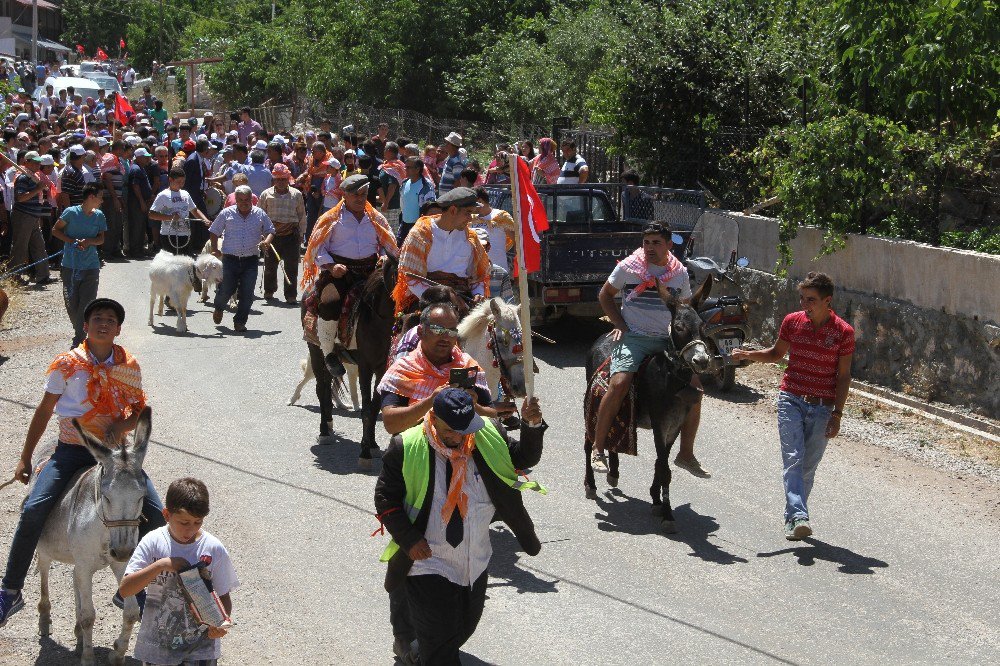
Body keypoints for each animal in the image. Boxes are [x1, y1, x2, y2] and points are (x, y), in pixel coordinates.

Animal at [32, 408, 152, 660]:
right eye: (106, 496)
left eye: (141, 496)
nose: (122, 551)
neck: (104, 532)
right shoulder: (87, 564)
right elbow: (89, 616)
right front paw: (87, 658)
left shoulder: (121, 565)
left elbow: (131, 612)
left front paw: (117, 654)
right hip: (45, 548)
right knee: (45, 574)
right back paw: (45, 619)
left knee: (74, 578)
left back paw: (77, 633)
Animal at [584, 278, 716, 528]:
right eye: (679, 327)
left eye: (703, 326)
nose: (702, 361)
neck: (672, 379)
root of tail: (605, 337)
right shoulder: (659, 423)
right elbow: (664, 468)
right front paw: (667, 514)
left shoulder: (674, 425)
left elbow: (660, 463)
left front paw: (656, 500)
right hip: (592, 405)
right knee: (590, 441)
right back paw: (591, 482)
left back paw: (613, 473)